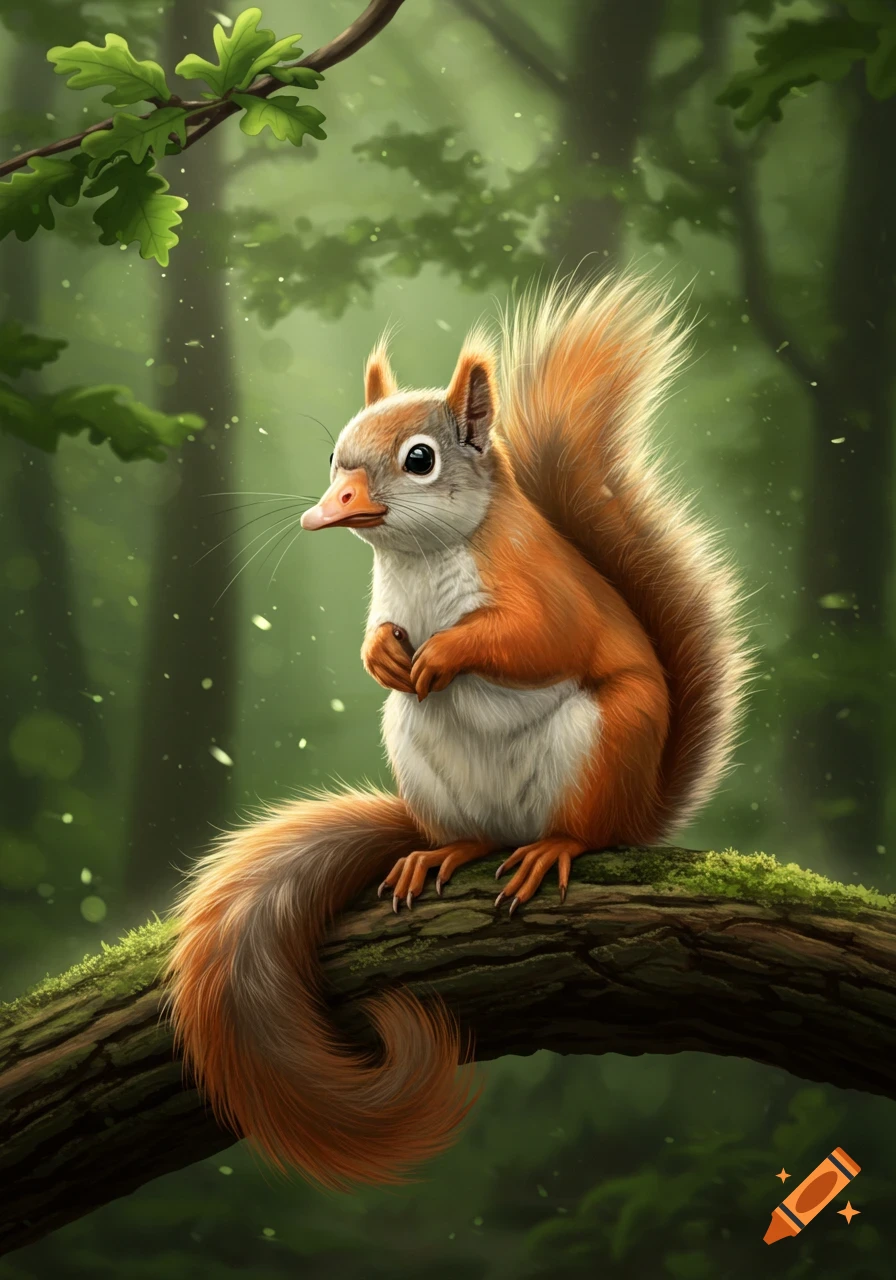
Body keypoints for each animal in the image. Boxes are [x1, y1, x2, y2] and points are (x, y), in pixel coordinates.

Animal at [165, 272, 750, 1192]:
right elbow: (374, 640)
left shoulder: (547, 593)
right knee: (470, 833)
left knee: (580, 830)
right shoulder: (386, 603)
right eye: (334, 457)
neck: (419, 557)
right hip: (422, 762)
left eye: (419, 459)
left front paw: (444, 654)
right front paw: (385, 655)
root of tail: (638, 806)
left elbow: (534, 640)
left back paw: (552, 850)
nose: (325, 510)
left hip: (603, 745)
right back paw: (443, 854)